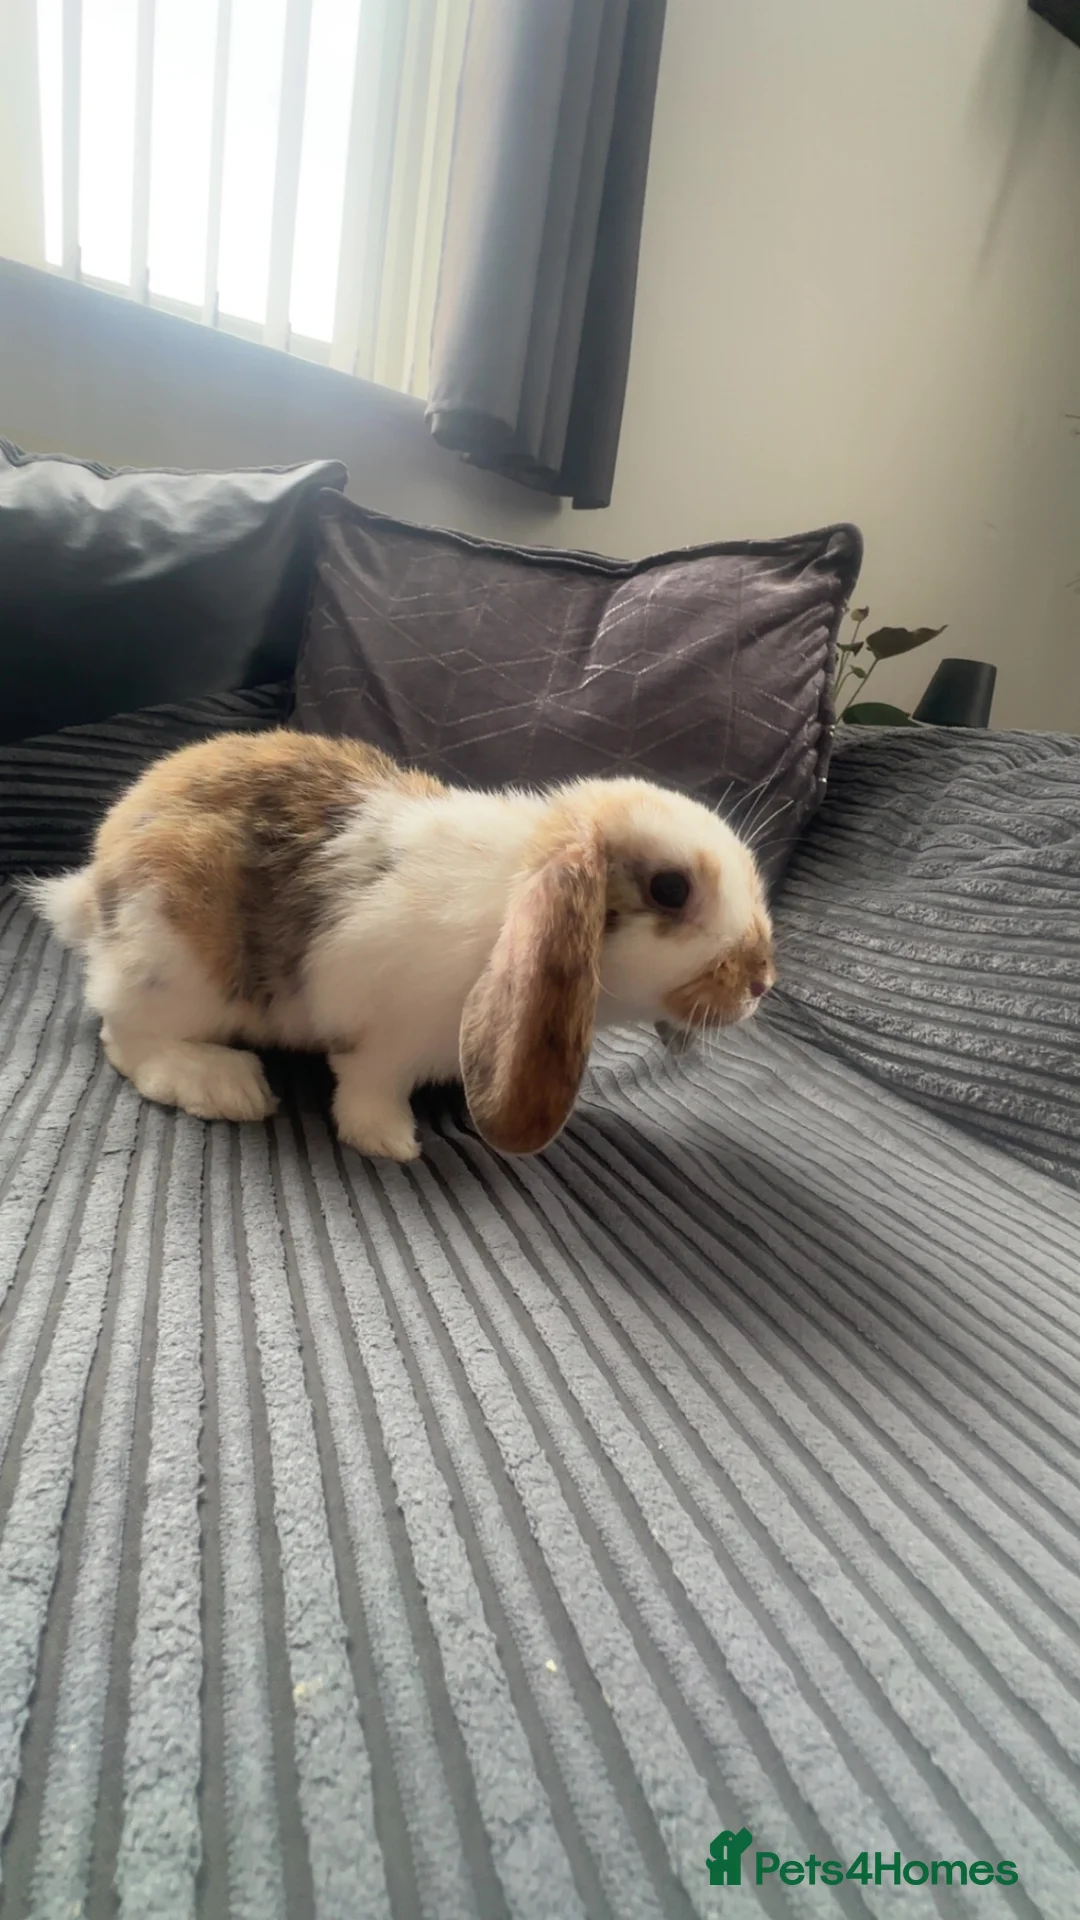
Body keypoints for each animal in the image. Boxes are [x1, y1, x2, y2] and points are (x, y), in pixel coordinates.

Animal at [28, 728, 776, 1161]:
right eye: (671, 889)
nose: (762, 980)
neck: (509, 895)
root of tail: (98, 884)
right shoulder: (382, 1030)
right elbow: (369, 1085)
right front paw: (390, 1142)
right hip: (176, 964)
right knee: (127, 1038)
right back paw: (226, 1085)